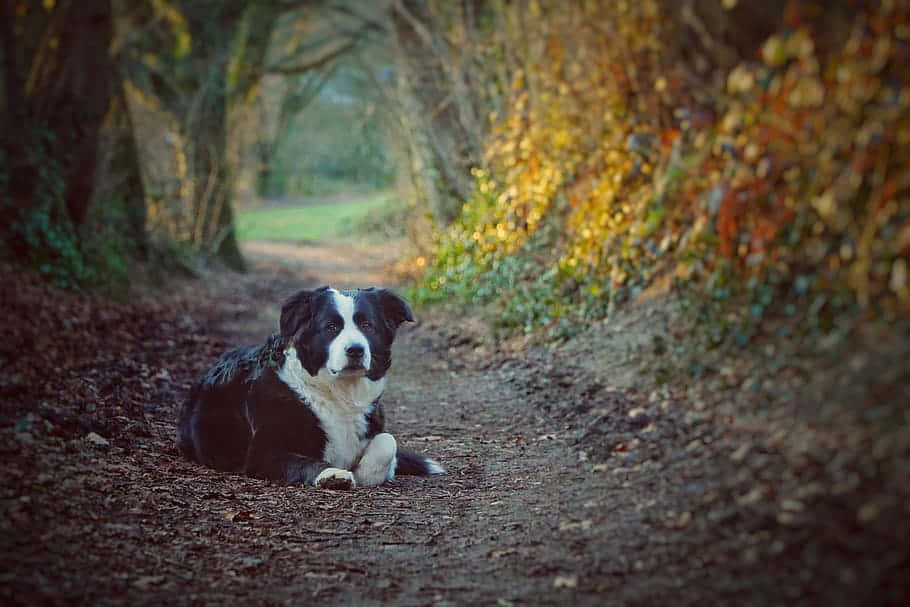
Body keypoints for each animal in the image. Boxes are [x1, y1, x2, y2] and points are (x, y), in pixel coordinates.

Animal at [177, 288, 442, 492]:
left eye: (367, 325)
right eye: (331, 326)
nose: (355, 350)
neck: (337, 393)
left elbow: (388, 441)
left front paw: (367, 472)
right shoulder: (263, 453)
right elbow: (307, 462)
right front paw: (333, 474)